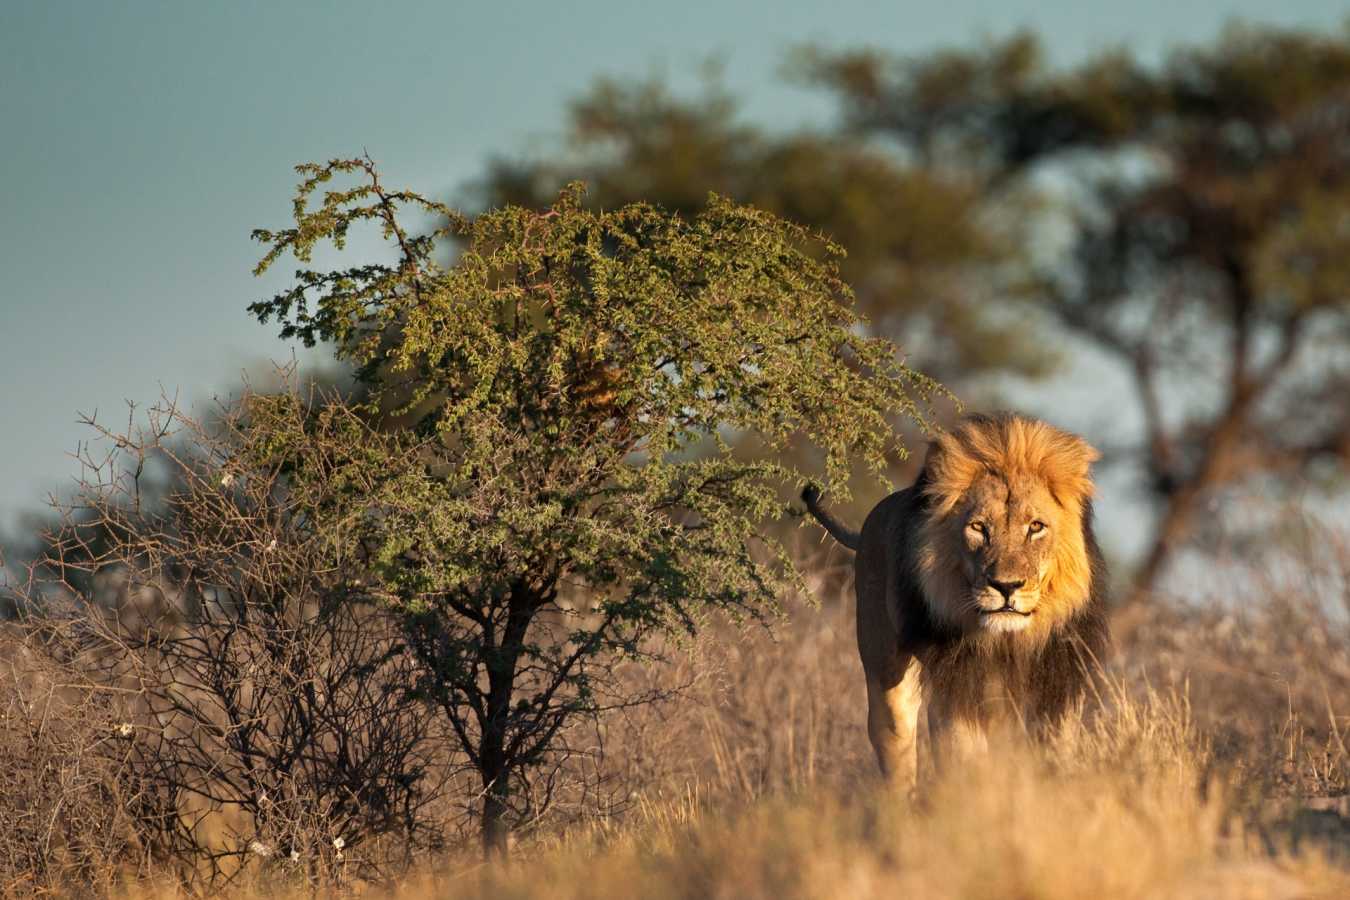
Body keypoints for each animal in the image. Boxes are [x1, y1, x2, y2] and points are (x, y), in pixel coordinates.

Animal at [803, 412, 1109, 788]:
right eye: (978, 528)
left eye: (1036, 527)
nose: (1006, 586)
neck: (1007, 642)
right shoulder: (958, 689)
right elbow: (965, 761)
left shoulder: (1056, 688)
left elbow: (1052, 755)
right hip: (887, 675)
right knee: (897, 751)